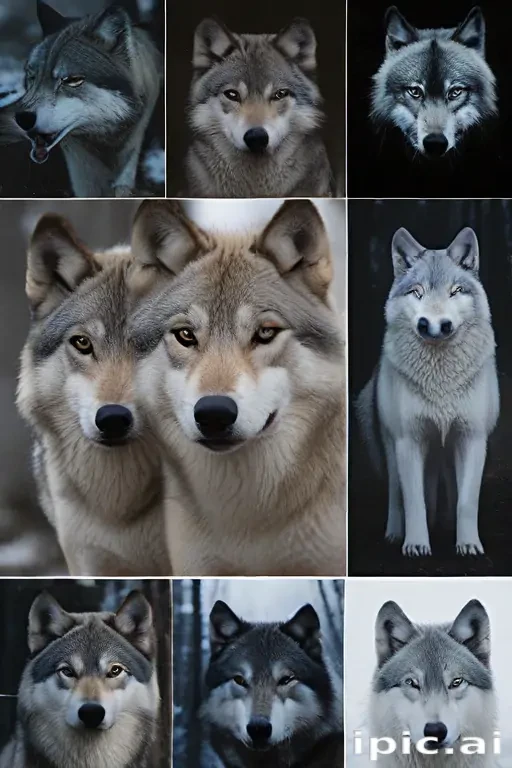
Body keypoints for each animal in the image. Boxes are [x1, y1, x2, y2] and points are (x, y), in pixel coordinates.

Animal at [356, 227, 499, 557]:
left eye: (455, 291)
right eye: (417, 292)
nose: (432, 324)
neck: (440, 382)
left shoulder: (472, 438)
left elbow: (466, 501)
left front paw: (468, 544)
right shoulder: (408, 441)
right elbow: (414, 501)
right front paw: (416, 543)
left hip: (444, 450)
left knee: (446, 485)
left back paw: (444, 524)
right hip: (393, 447)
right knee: (397, 494)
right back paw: (396, 533)